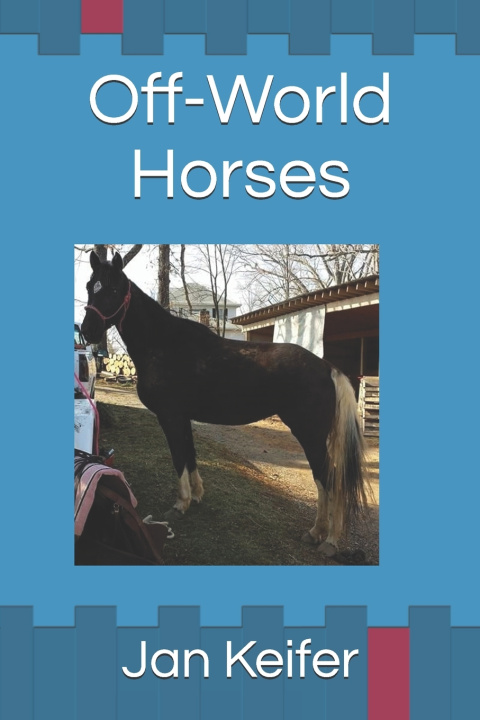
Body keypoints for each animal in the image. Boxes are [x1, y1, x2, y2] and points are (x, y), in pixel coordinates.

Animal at [81, 251, 368, 556]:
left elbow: (179, 457)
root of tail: (327, 368)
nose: (88, 329)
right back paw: (318, 533)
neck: (164, 343)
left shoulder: (170, 416)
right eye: (90, 286)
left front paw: (180, 504)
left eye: (113, 289)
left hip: (310, 436)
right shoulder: (183, 418)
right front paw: (196, 495)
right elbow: (190, 455)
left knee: (328, 480)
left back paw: (328, 539)